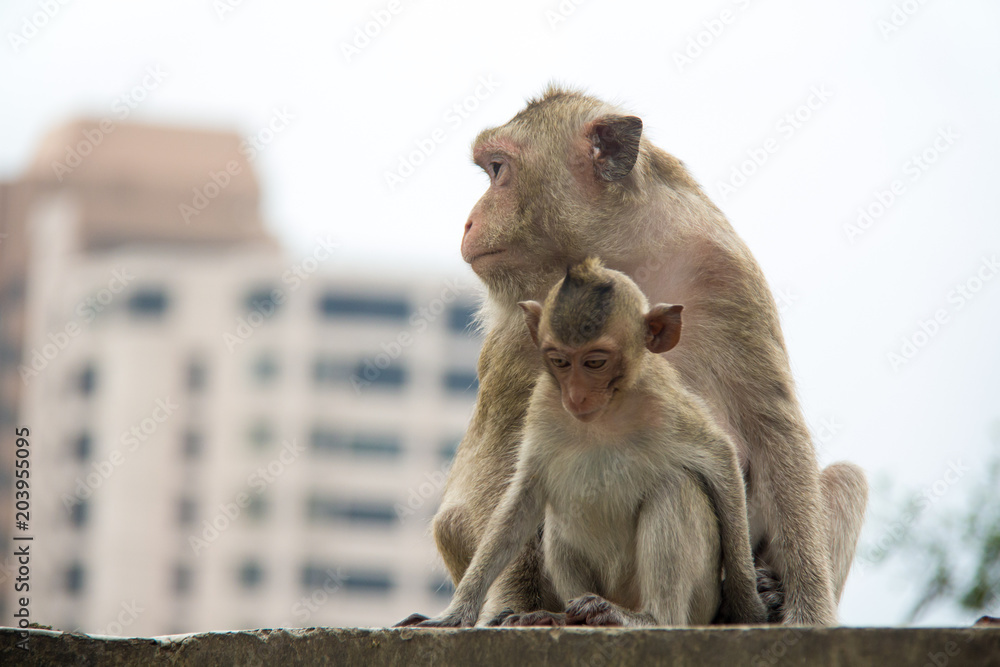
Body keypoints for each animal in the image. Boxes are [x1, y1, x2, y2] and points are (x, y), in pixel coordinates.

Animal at [415, 259, 767, 628]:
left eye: (595, 362)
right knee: (559, 514)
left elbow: (720, 459)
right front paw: (456, 613)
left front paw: (748, 606)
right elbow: (522, 502)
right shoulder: (543, 405)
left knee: (674, 487)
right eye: (559, 361)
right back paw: (566, 616)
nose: (576, 396)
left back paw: (647, 618)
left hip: (696, 597)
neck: (603, 416)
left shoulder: (665, 404)